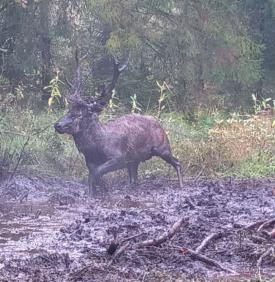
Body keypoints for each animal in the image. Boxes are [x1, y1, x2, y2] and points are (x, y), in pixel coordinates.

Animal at [53, 53, 183, 196]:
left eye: (79, 115)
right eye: (69, 110)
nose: (57, 125)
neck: (95, 148)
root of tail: (160, 124)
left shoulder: (119, 157)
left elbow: (96, 173)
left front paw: (101, 191)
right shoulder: (90, 162)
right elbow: (92, 177)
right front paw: (92, 193)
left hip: (163, 147)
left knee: (177, 162)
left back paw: (181, 185)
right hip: (135, 159)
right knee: (134, 179)